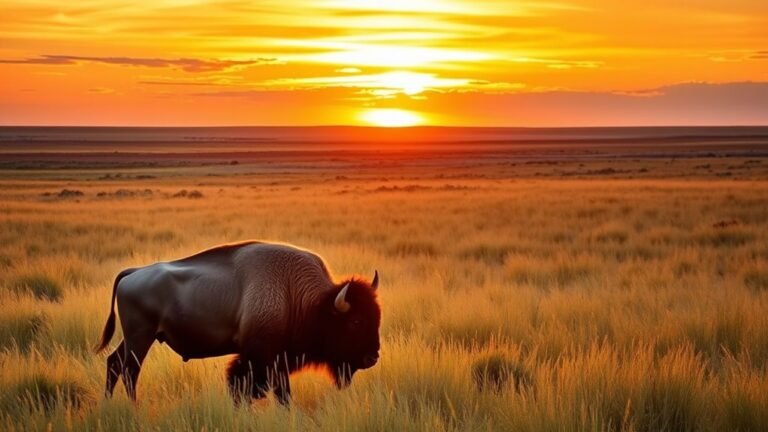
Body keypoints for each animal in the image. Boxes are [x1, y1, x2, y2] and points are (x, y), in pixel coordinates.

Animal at [95, 241, 381, 404]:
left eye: (377, 317)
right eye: (356, 321)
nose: (372, 357)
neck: (298, 296)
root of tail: (133, 273)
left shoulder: (276, 360)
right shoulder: (261, 357)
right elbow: (253, 387)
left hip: (135, 337)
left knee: (114, 364)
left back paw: (109, 404)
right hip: (141, 337)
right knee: (130, 370)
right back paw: (133, 406)